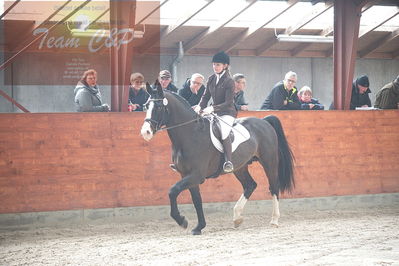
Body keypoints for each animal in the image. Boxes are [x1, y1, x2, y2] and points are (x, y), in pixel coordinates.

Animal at [140, 82, 294, 235]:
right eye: (146, 106)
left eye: (159, 107)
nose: (145, 132)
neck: (191, 134)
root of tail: (264, 121)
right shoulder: (187, 175)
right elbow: (196, 200)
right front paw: (199, 227)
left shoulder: (196, 175)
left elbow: (172, 191)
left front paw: (182, 221)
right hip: (240, 167)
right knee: (250, 185)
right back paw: (237, 218)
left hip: (269, 161)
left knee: (273, 186)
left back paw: (274, 220)